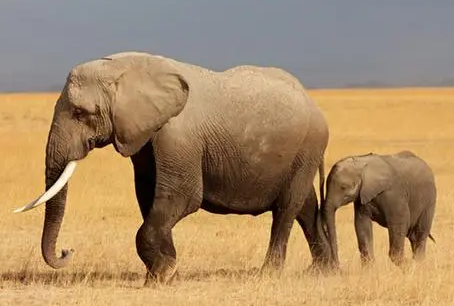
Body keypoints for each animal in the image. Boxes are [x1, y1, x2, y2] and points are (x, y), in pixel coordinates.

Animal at [15, 50, 332, 284]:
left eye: (82, 113)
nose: (67, 251)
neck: (127, 68)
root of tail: (314, 104)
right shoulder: (143, 135)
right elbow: (149, 197)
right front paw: (164, 270)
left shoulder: (178, 135)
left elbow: (182, 197)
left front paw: (161, 275)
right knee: (306, 206)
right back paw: (323, 270)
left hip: (308, 146)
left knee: (286, 208)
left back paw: (269, 273)